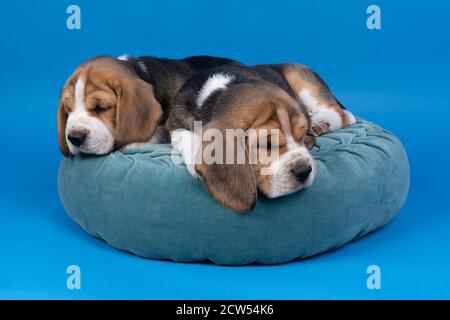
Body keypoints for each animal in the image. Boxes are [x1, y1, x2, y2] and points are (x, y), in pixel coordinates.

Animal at [165, 63, 356, 211]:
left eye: (301, 137)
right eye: (267, 145)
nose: (304, 171)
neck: (222, 89)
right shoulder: (173, 123)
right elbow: (186, 136)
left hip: (301, 78)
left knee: (341, 114)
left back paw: (320, 122)